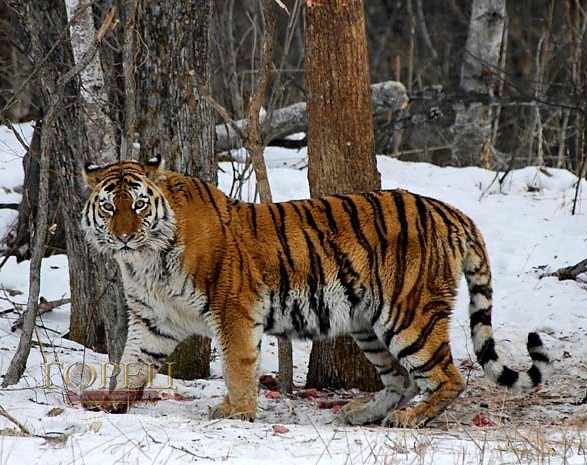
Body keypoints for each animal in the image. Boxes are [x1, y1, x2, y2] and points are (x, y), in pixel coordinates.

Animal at [79, 154, 552, 426]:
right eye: (109, 206)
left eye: (139, 205)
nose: (123, 237)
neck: (146, 262)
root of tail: (451, 211)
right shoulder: (152, 321)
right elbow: (131, 363)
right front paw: (109, 401)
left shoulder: (234, 311)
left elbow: (238, 365)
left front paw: (237, 412)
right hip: (367, 325)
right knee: (402, 379)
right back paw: (361, 414)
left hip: (409, 317)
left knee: (447, 378)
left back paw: (410, 419)